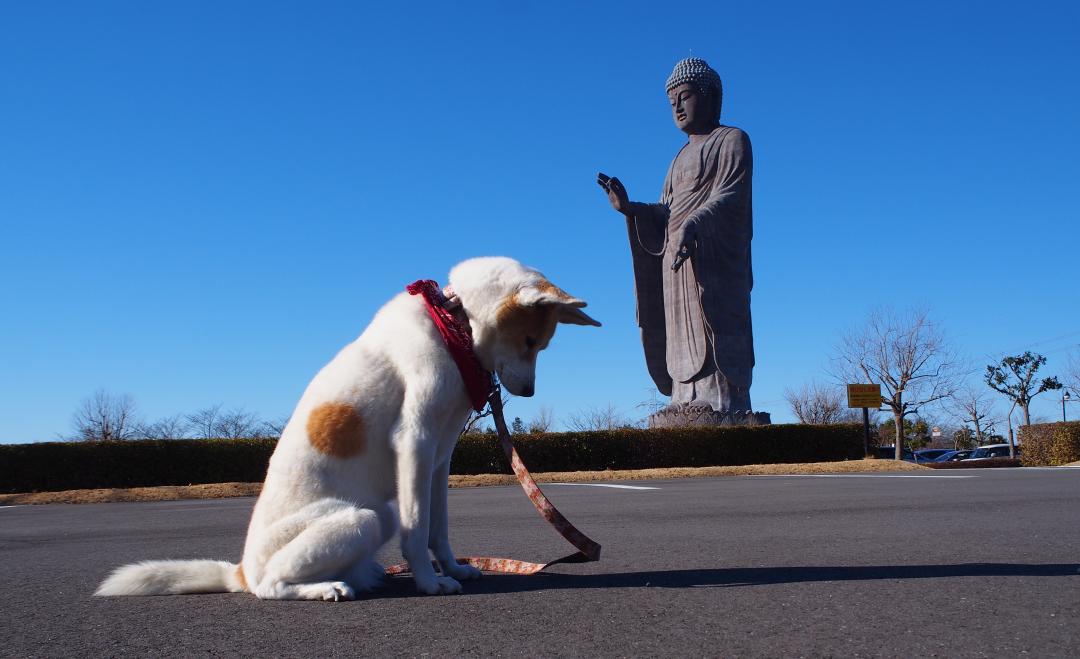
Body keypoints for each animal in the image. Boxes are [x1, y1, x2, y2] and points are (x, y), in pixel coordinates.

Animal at [97, 257, 604, 600]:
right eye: (530, 341)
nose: (530, 393)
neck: (453, 325)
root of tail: (240, 569)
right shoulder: (415, 444)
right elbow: (418, 528)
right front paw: (429, 582)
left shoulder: (439, 458)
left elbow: (438, 528)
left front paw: (455, 569)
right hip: (365, 517)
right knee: (271, 586)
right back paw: (325, 588)